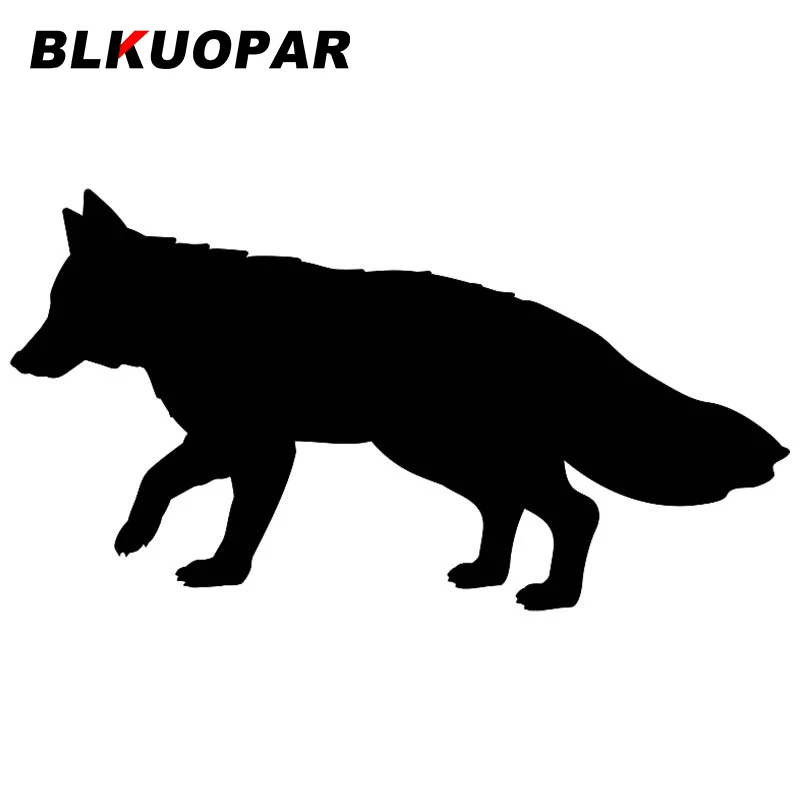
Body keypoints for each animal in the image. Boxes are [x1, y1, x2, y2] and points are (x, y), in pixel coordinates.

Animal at [11, 190, 789, 610]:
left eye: (65, 306)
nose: (17, 362)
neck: (189, 315)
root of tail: (553, 325)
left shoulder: (258, 447)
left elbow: (211, 504)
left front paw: (214, 569)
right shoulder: (225, 443)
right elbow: (163, 478)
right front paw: (150, 540)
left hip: (446, 451)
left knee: (576, 511)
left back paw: (554, 595)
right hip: (438, 452)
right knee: (510, 506)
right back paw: (487, 575)